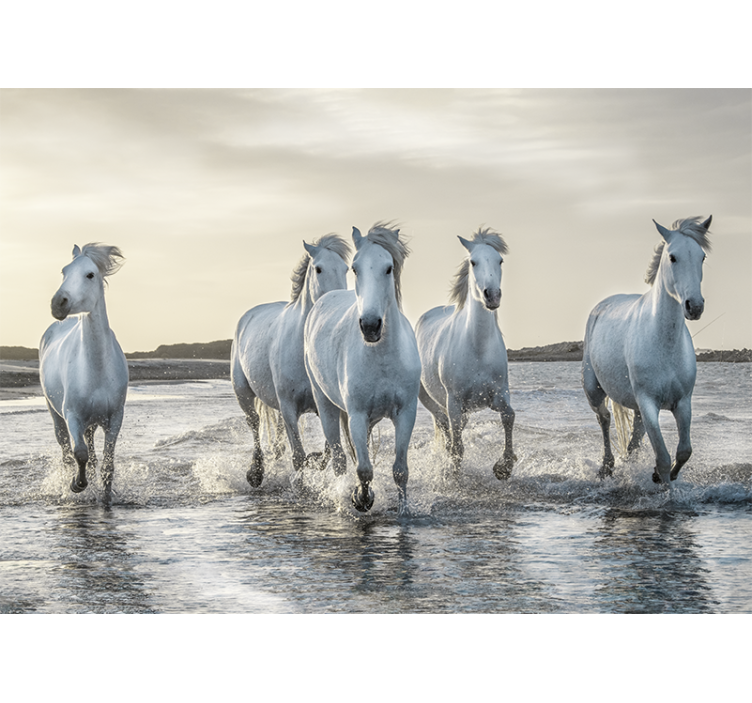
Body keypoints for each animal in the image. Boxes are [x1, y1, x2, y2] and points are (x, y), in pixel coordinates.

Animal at [39, 244, 129, 504]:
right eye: (64, 272)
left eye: (90, 274)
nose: (58, 303)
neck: (96, 369)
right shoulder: (73, 416)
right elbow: (80, 453)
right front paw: (77, 484)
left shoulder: (115, 418)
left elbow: (107, 464)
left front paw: (106, 498)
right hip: (56, 414)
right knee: (66, 451)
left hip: (91, 422)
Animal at [231, 234, 351, 486]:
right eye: (318, 269)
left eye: (346, 269)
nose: (338, 303)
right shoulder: (288, 407)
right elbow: (298, 456)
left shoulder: (324, 405)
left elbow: (326, 450)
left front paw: (315, 461)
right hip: (243, 393)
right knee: (254, 424)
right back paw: (255, 473)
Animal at [304, 223, 421, 516]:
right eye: (355, 269)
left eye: (389, 268)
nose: (370, 325)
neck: (382, 357)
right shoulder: (356, 415)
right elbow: (364, 469)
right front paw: (361, 499)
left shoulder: (406, 413)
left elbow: (400, 470)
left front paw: (404, 512)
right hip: (326, 405)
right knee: (339, 459)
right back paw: (343, 497)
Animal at [415, 228, 516, 481]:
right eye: (473, 262)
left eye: (500, 260)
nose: (492, 296)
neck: (477, 349)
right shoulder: (454, 401)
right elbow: (457, 446)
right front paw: (454, 475)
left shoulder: (499, 395)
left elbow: (509, 416)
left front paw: (504, 467)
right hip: (432, 401)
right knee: (445, 428)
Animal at [582, 215, 712, 485]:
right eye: (672, 257)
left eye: (702, 256)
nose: (694, 306)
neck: (664, 343)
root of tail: (601, 305)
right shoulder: (648, 403)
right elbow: (662, 457)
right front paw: (663, 484)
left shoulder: (683, 402)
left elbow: (683, 451)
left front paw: (661, 475)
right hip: (594, 391)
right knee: (604, 420)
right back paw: (606, 467)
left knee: (633, 440)